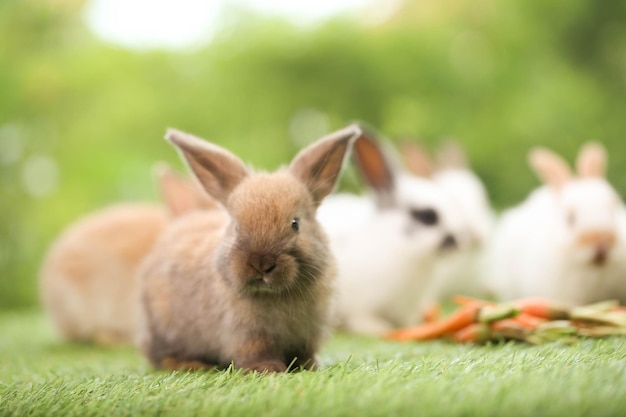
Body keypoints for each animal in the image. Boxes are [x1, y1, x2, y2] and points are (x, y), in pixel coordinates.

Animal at [138, 123, 358, 370]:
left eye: (295, 224)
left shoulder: (308, 334)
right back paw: (190, 364)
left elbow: (304, 354)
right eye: (236, 226)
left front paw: (308, 367)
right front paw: (269, 370)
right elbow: (257, 352)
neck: (276, 295)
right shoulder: (247, 334)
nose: (261, 263)